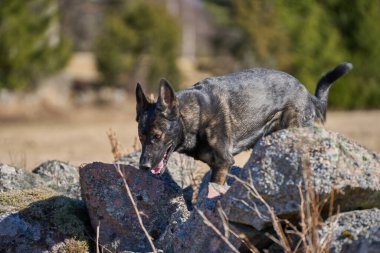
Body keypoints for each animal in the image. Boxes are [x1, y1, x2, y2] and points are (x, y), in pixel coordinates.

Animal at [135, 62, 352, 190]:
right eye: (141, 137)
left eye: (157, 135)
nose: (143, 166)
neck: (196, 115)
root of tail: (307, 93)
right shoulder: (215, 166)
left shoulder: (223, 164)